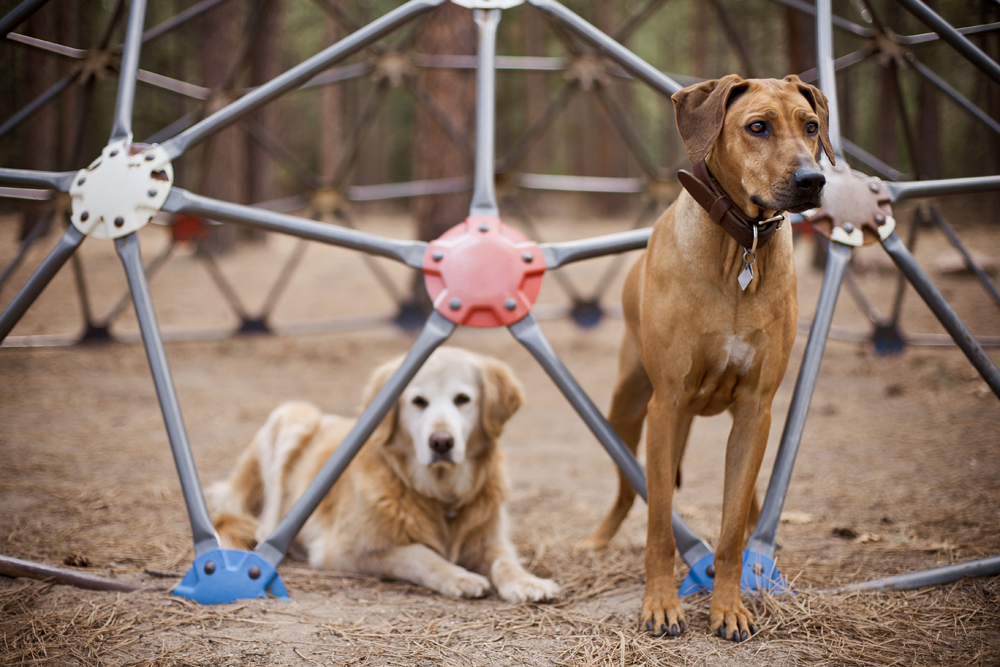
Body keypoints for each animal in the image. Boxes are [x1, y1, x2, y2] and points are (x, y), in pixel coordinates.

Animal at [208, 344, 560, 604]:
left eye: (463, 400)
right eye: (418, 401)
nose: (441, 442)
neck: (440, 495)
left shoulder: (490, 540)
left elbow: (506, 560)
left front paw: (527, 582)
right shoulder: (344, 551)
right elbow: (419, 554)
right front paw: (460, 576)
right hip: (294, 414)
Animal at [576, 75, 832, 644]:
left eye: (811, 126)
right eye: (757, 126)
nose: (813, 180)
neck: (741, 246)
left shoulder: (757, 410)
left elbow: (733, 528)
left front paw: (730, 607)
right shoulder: (667, 405)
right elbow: (659, 525)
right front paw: (659, 604)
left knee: (749, 500)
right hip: (628, 408)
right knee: (629, 491)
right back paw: (596, 541)